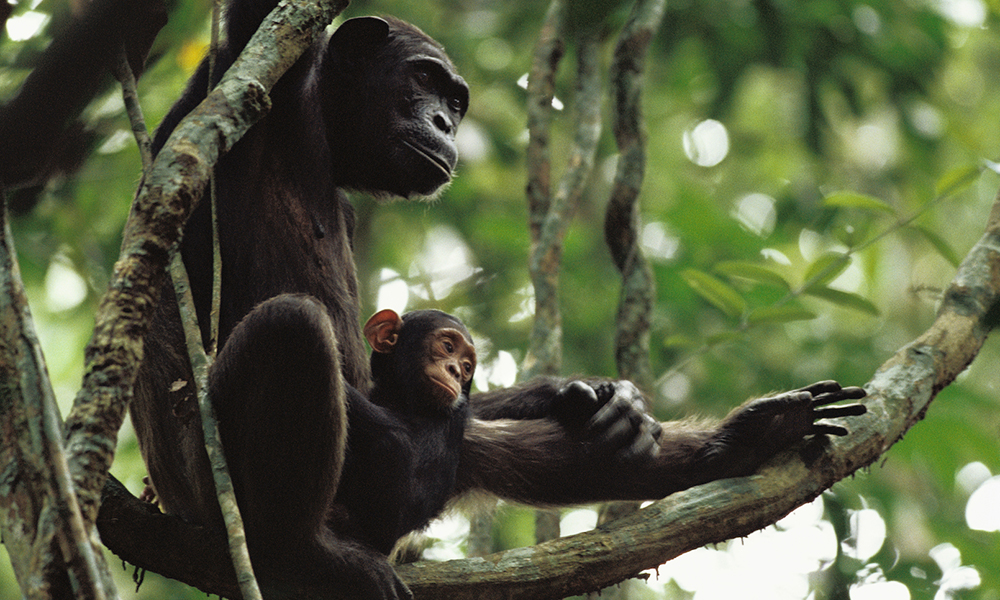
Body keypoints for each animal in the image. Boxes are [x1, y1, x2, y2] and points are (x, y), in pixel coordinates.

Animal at [131, 2, 868, 596]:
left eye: (457, 104)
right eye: (424, 81)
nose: (443, 122)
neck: (323, 131)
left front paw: (590, 394)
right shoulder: (256, 76)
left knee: (482, 443)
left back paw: (741, 440)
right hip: (213, 489)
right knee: (293, 328)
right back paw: (302, 552)